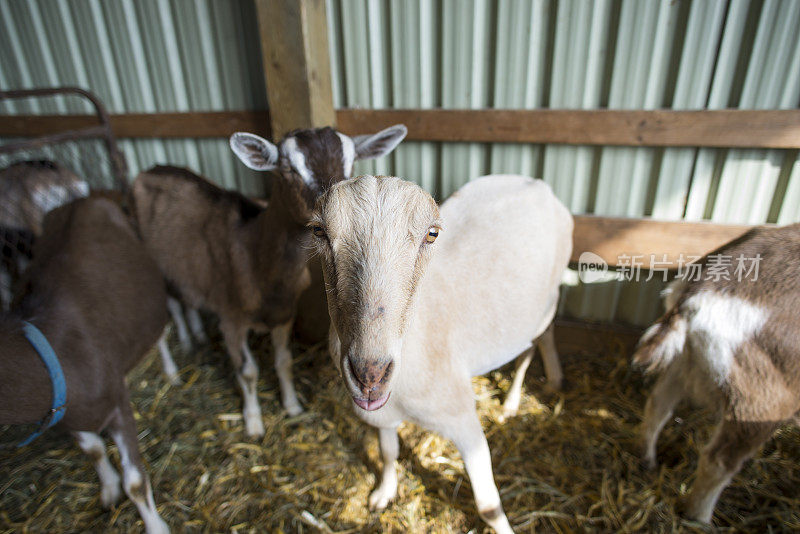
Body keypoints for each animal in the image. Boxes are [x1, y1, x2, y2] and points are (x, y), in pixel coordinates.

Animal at [0, 197, 170, 534]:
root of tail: (81, 200)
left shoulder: (117, 401)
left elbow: (135, 482)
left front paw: (157, 527)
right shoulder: (62, 413)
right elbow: (92, 450)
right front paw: (109, 490)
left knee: (159, 335)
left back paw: (172, 373)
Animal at [133, 125, 406, 440]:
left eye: (351, 165)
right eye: (287, 168)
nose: (338, 218)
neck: (256, 260)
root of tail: (148, 170)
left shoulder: (284, 313)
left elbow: (284, 361)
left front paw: (293, 405)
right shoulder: (231, 317)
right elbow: (248, 371)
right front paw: (253, 423)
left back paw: (196, 338)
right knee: (166, 313)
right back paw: (173, 370)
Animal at [310, 174, 572, 532]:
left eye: (431, 234)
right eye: (318, 231)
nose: (370, 375)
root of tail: (536, 183)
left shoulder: (462, 420)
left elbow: (488, 504)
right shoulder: (380, 416)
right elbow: (388, 452)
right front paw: (383, 494)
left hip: (547, 303)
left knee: (539, 341)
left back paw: (520, 398)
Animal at [636, 224, 800, 524]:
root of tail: (698, 293)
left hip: (684, 360)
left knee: (658, 405)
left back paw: (647, 460)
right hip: (763, 397)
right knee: (719, 460)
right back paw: (699, 517)